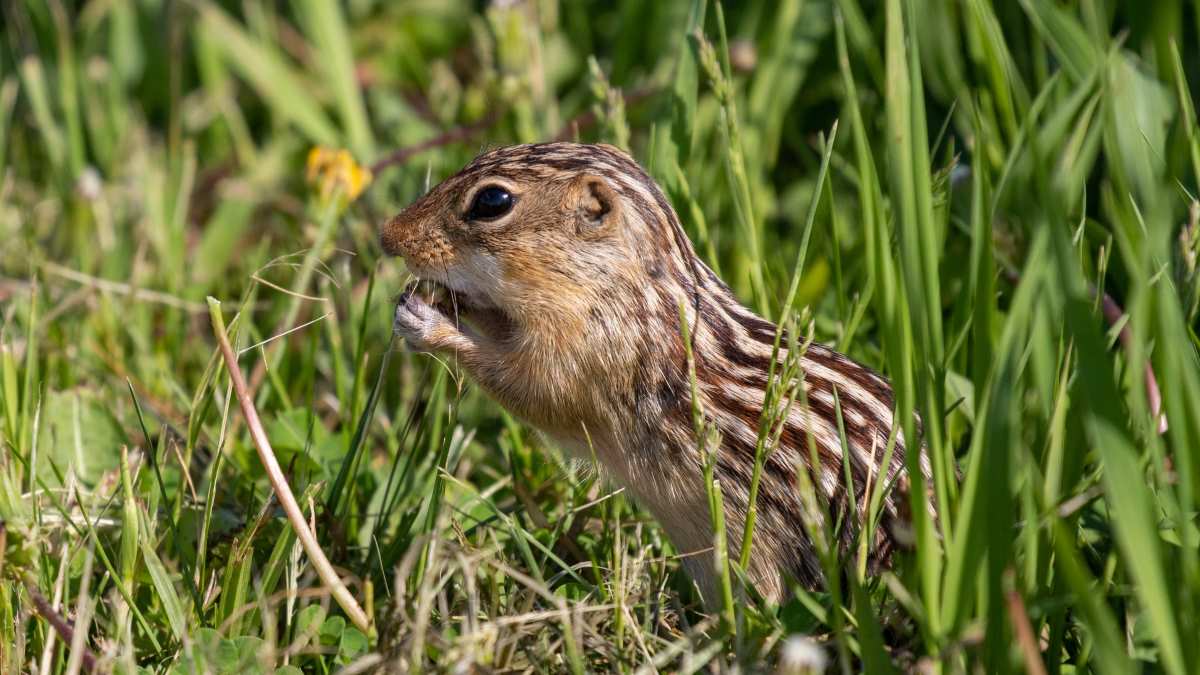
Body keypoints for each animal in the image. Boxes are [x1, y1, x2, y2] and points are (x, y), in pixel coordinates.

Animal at [379, 141, 921, 605]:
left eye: (493, 201)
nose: (387, 236)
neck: (635, 289)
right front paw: (446, 301)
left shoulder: (589, 360)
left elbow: (531, 391)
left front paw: (426, 323)